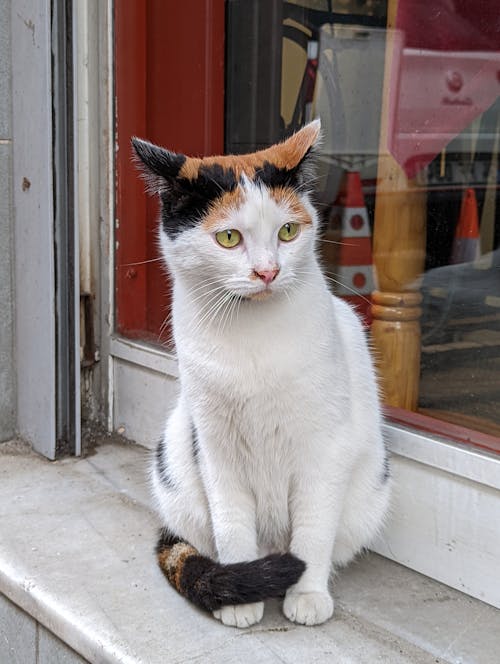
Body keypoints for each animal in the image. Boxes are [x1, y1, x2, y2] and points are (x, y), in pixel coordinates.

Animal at [133, 120, 390, 628]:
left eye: (288, 231)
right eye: (229, 238)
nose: (268, 272)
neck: (251, 340)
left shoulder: (325, 447)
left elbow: (313, 530)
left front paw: (307, 594)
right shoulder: (215, 448)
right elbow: (232, 523)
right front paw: (240, 598)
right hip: (176, 460)